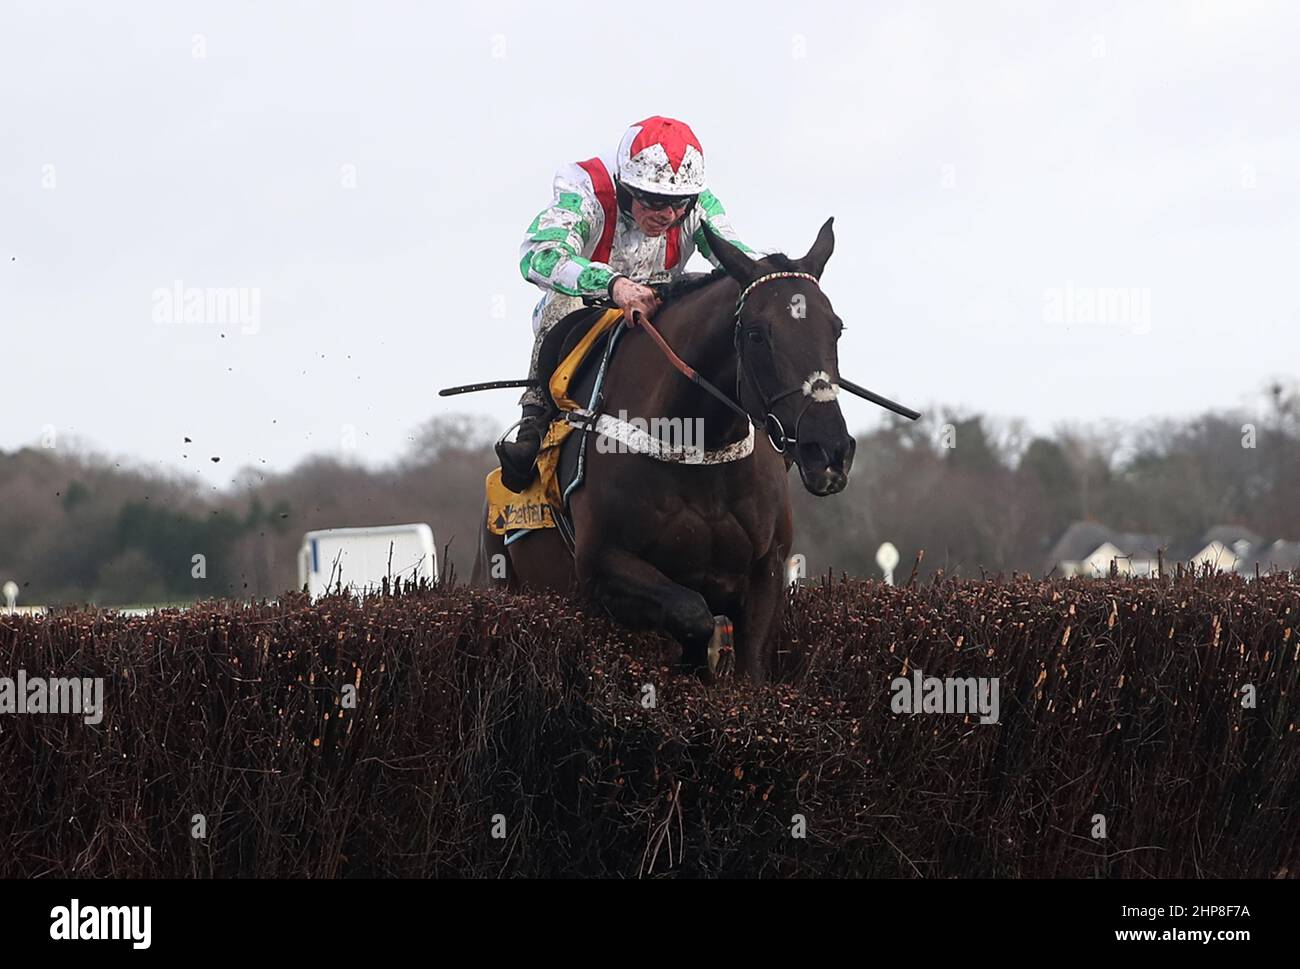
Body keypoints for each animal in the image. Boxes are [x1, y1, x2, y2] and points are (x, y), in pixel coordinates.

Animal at [473, 221, 857, 681]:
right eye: (755, 334)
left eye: (836, 328)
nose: (828, 450)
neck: (699, 448)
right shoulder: (601, 564)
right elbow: (692, 613)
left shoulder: (766, 573)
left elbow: (747, 664)